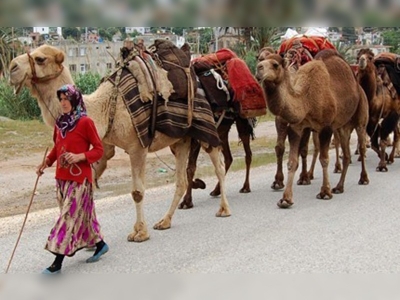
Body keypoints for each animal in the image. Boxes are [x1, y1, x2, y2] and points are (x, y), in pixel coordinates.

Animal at [8, 44, 231, 243]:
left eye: (40, 59)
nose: (11, 67)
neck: (105, 106)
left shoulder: (137, 147)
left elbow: (137, 192)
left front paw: (140, 233)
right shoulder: (105, 144)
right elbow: (91, 184)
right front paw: (91, 240)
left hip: (206, 131)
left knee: (219, 166)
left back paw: (223, 209)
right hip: (181, 139)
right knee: (182, 179)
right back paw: (165, 221)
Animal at [256, 49, 368, 209]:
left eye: (275, 64)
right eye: (260, 59)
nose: (258, 68)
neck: (306, 99)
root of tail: (358, 86)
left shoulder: (326, 127)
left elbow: (324, 159)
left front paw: (325, 192)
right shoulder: (297, 128)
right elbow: (292, 162)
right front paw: (285, 199)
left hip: (360, 117)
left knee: (362, 145)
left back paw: (363, 178)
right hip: (342, 127)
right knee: (346, 154)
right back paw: (339, 187)